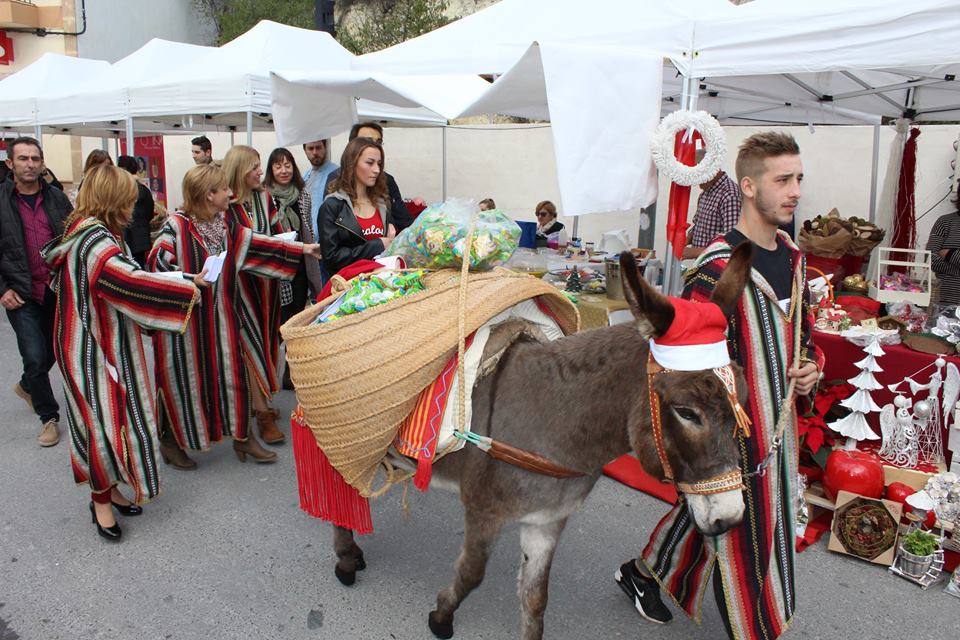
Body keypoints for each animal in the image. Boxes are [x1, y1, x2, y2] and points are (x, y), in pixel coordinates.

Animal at [329, 243, 754, 640]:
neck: (554, 419)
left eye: (744, 396)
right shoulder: (484, 510)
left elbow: (535, 598)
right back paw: (347, 558)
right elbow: (471, 573)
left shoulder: (547, 520)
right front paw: (441, 617)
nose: (731, 517)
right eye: (686, 412)